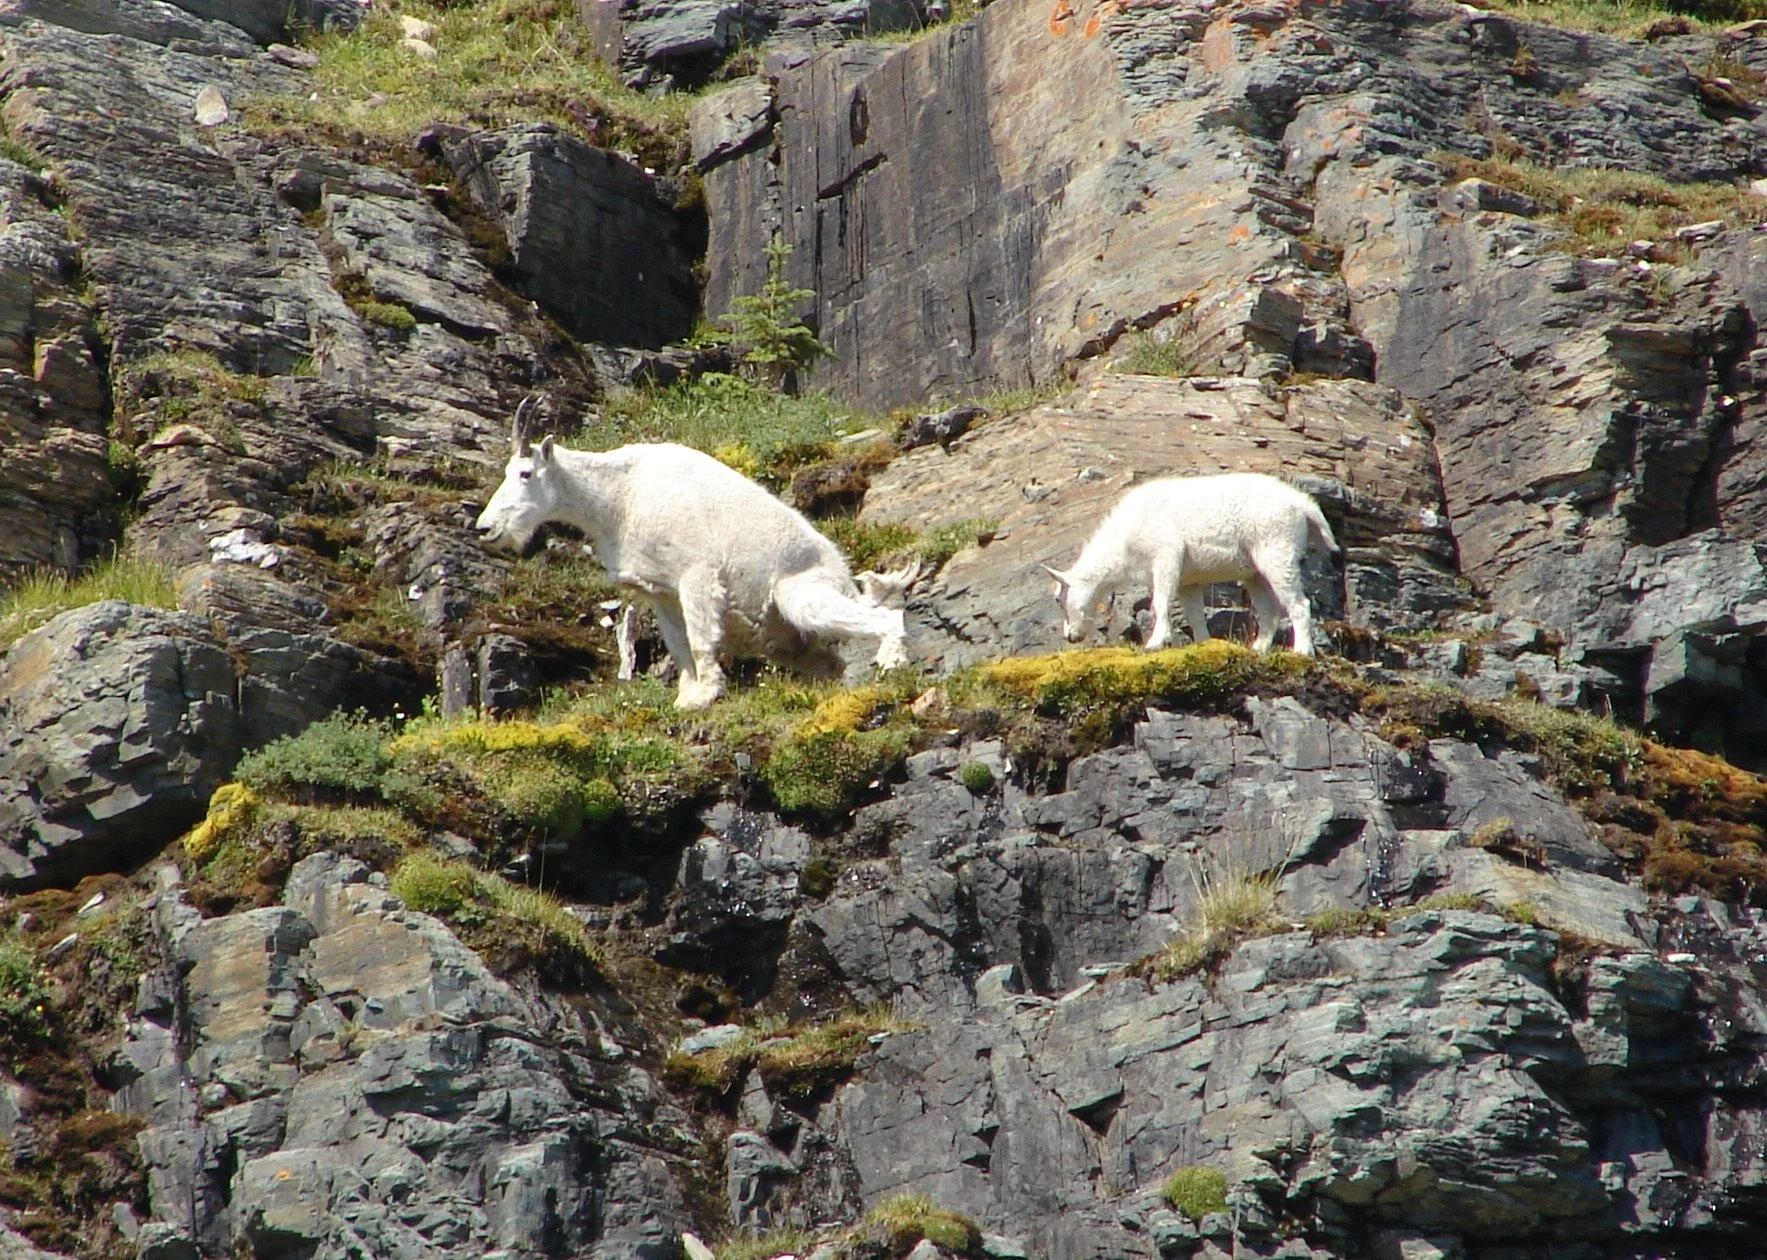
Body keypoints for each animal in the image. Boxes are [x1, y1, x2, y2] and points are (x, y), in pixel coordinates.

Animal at [475, 398, 916, 709]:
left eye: (525, 473)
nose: (485, 528)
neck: (617, 497)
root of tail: (845, 579)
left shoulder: (696, 576)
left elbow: (702, 637)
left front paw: (707, 695)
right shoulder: (662, 592)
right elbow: (679, 643)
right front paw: (686, 698)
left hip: (802, 597)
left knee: (883, 619)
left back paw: (892, 659)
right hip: (791, 640)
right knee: (832, 665)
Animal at [1044, 472, 1338, 656]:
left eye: (1059, 599)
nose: (1070, 636)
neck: (1122, 544)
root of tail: (1303, 505)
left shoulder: (1166, 554)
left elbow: (1160, 601)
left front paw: (1155, 642)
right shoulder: (1189, 580)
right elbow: (1194, 614)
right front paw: (1203, 643)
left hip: (1277, 547)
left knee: (1299, 604)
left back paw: (1302, 650)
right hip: (1255, 570)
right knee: (1268, 609)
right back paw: (1259, 647)